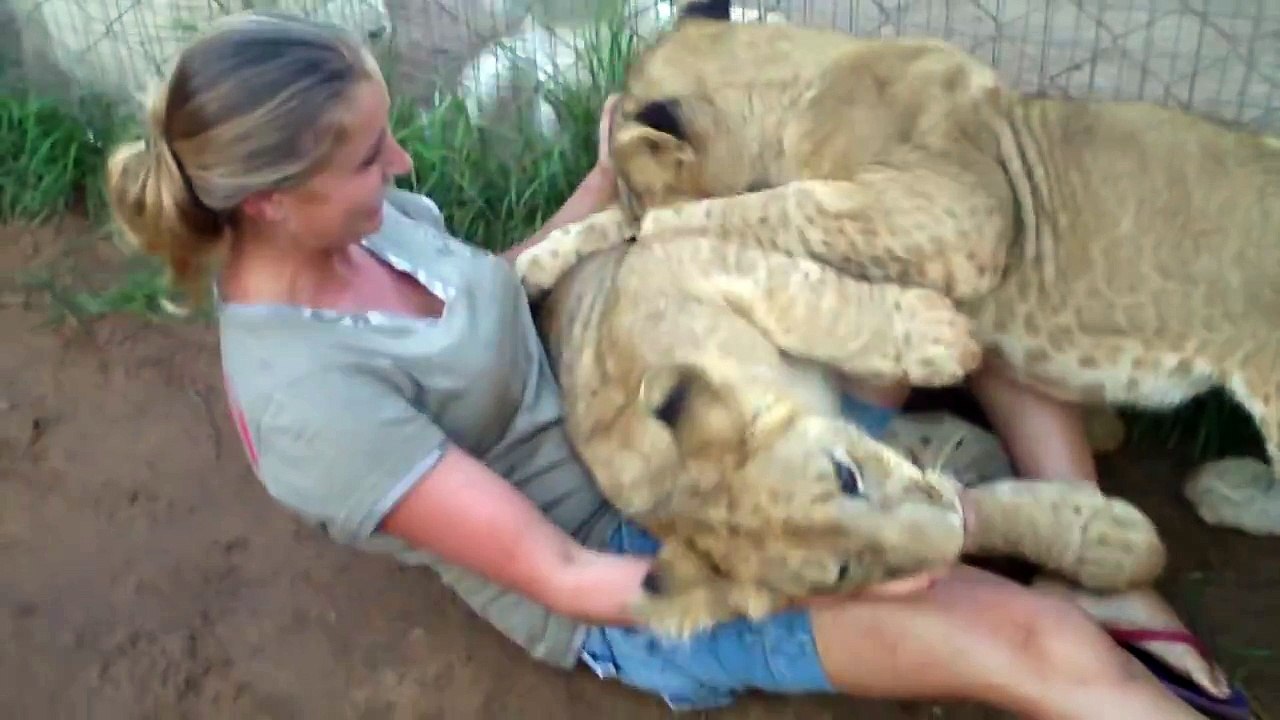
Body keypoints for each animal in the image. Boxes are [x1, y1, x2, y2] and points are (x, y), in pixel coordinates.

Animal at [516, 0, 1280, 539]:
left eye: (642, 192)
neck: (799, 86)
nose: (641, 214)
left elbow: (781, 205)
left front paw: (663, 228)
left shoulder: (965, 213)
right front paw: (533, 262)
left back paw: (1225, 490)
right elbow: (608, 225)